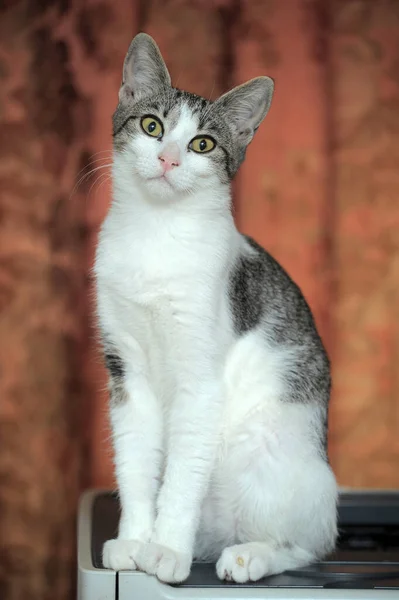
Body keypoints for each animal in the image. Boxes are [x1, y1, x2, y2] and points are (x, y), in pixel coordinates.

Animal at [94, 30, 338, 584]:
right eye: (152, 125)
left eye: (202, 144)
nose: (168, 159)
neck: (156, 232)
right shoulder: (126, 371)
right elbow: (136, 462)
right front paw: (135, 540)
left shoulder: (200, 379)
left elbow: (183, 472)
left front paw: (165, 549)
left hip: (272, 459)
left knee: (309, 545)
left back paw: (249, 556)